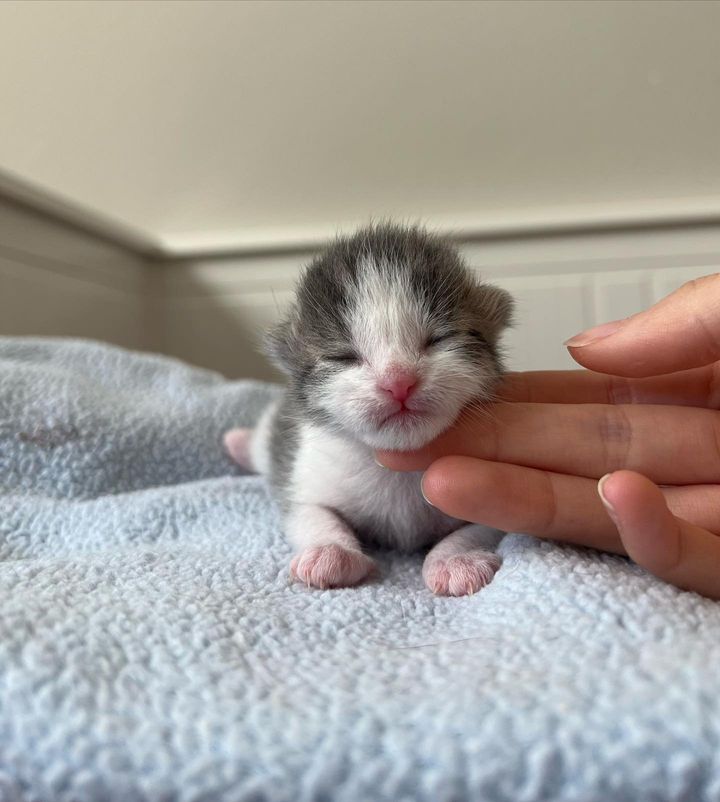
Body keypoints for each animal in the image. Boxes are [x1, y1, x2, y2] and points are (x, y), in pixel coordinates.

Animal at [225, 222, 512, 592]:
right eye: (343, 356)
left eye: (439, 339)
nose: (398, 381)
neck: (396, 470)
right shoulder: (305, 474)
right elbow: (310, 514)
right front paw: (331, 552)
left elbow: (479, 528)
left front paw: (455, 560)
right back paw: (236, 441)